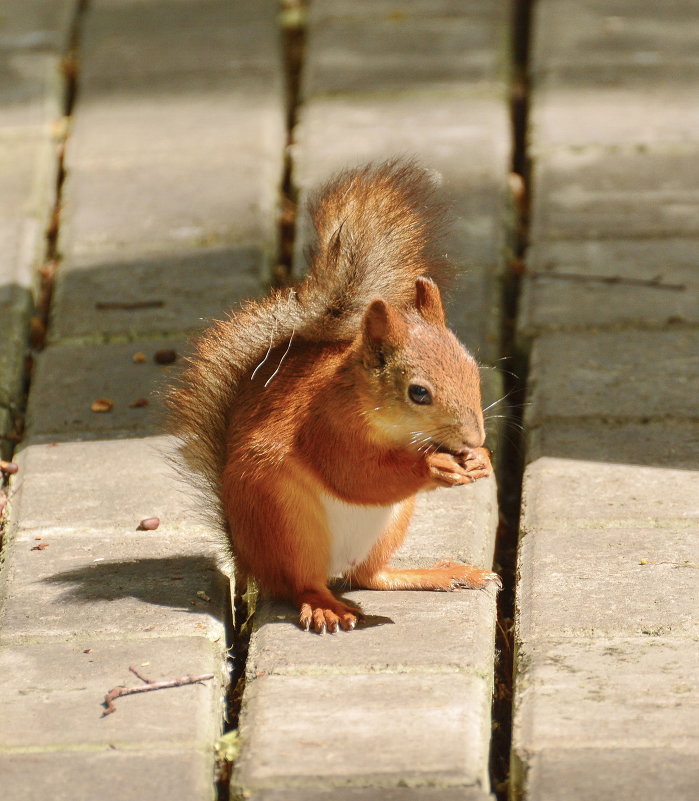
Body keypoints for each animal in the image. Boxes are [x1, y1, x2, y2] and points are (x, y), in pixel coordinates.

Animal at [167, 161, 500, 632]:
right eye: (418, 392)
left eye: (473, 371)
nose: (473, 440)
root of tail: (248, 560)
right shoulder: (324, 425)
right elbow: (354, 474)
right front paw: (434, 465)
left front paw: (481, 460)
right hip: (286, 523)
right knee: (302, 583)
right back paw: (326, 605)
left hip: (390, 524)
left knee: (369, 576)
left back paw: (440, 574)